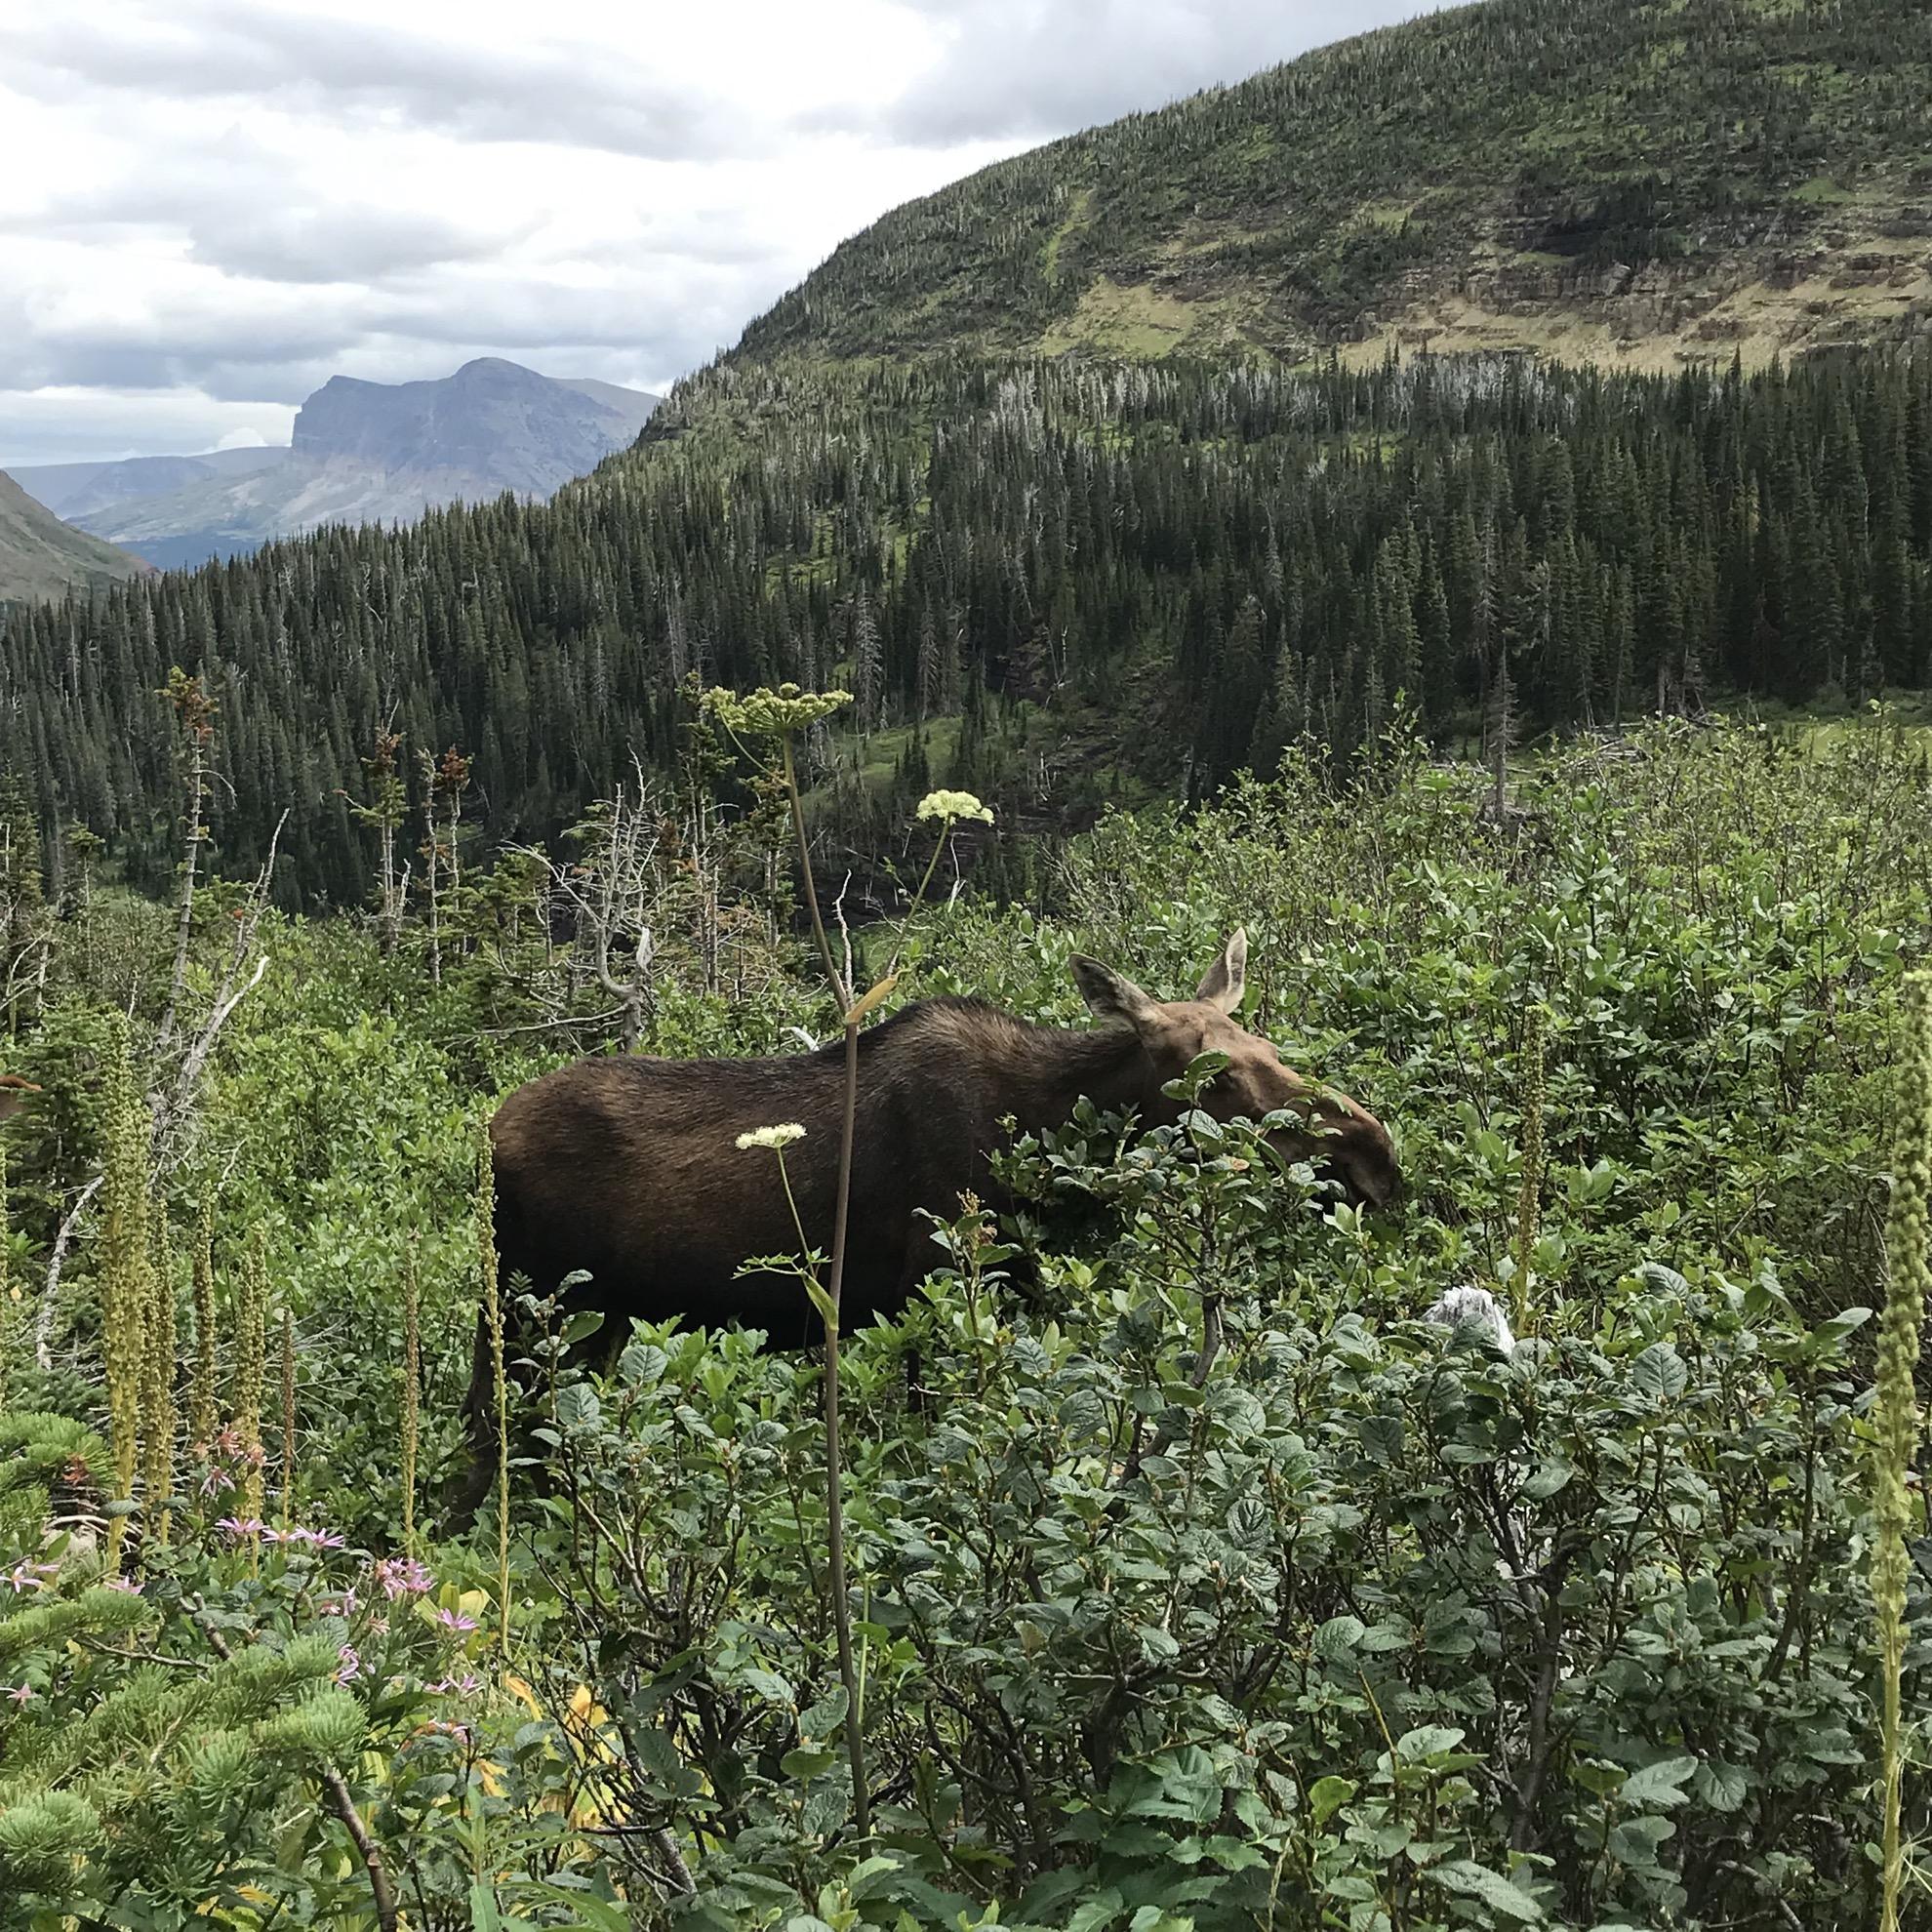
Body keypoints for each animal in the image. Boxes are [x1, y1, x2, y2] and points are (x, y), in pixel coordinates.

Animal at [444, 935, 1398, 1522]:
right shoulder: (922, 1292)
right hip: (530, 1310)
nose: (1374, 1157)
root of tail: (485, 1137)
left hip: (594, 1324)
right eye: (1216, 1075)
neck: (1040, 1134)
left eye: (1268, 1042)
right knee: (490, 1436)